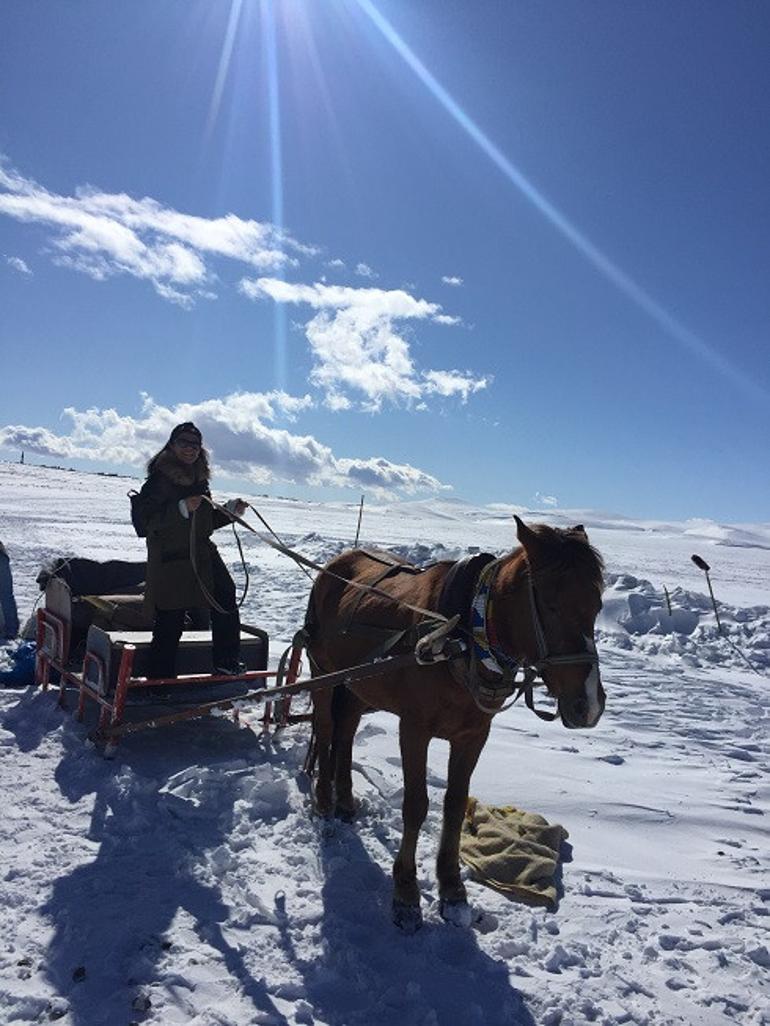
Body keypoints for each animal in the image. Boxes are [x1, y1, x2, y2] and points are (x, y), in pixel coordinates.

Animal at [303, 513, 607, 931]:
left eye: (597, 605)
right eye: (548, 603)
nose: (589, 706)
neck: (461, 638)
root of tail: (333, 567)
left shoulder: (473, 736)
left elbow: (455, 803)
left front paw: (451, 889)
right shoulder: (413, 730)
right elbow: (416, 805)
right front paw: (406, 894)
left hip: (358, 685)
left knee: (346, 730)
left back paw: (346, 802)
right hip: (323, 673)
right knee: (329, 728)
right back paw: (325, 807)